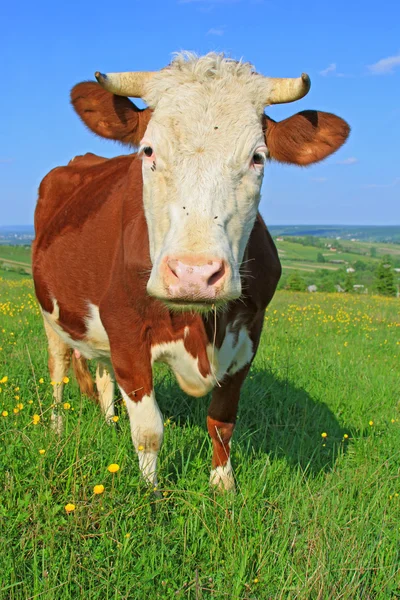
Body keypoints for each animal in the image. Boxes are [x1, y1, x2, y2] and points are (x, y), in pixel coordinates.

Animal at [32, 52, 348, 492]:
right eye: (148, 151)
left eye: (258, 157)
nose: (194, 274)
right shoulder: (125, 330)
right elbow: (149, 430)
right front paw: (151, 493)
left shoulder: (250, 335)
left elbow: (222, 420)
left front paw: (223, 487)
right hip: (52, 317)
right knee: (58, 374)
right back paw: (58, 432)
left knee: (102, 375)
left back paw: (110, 424)